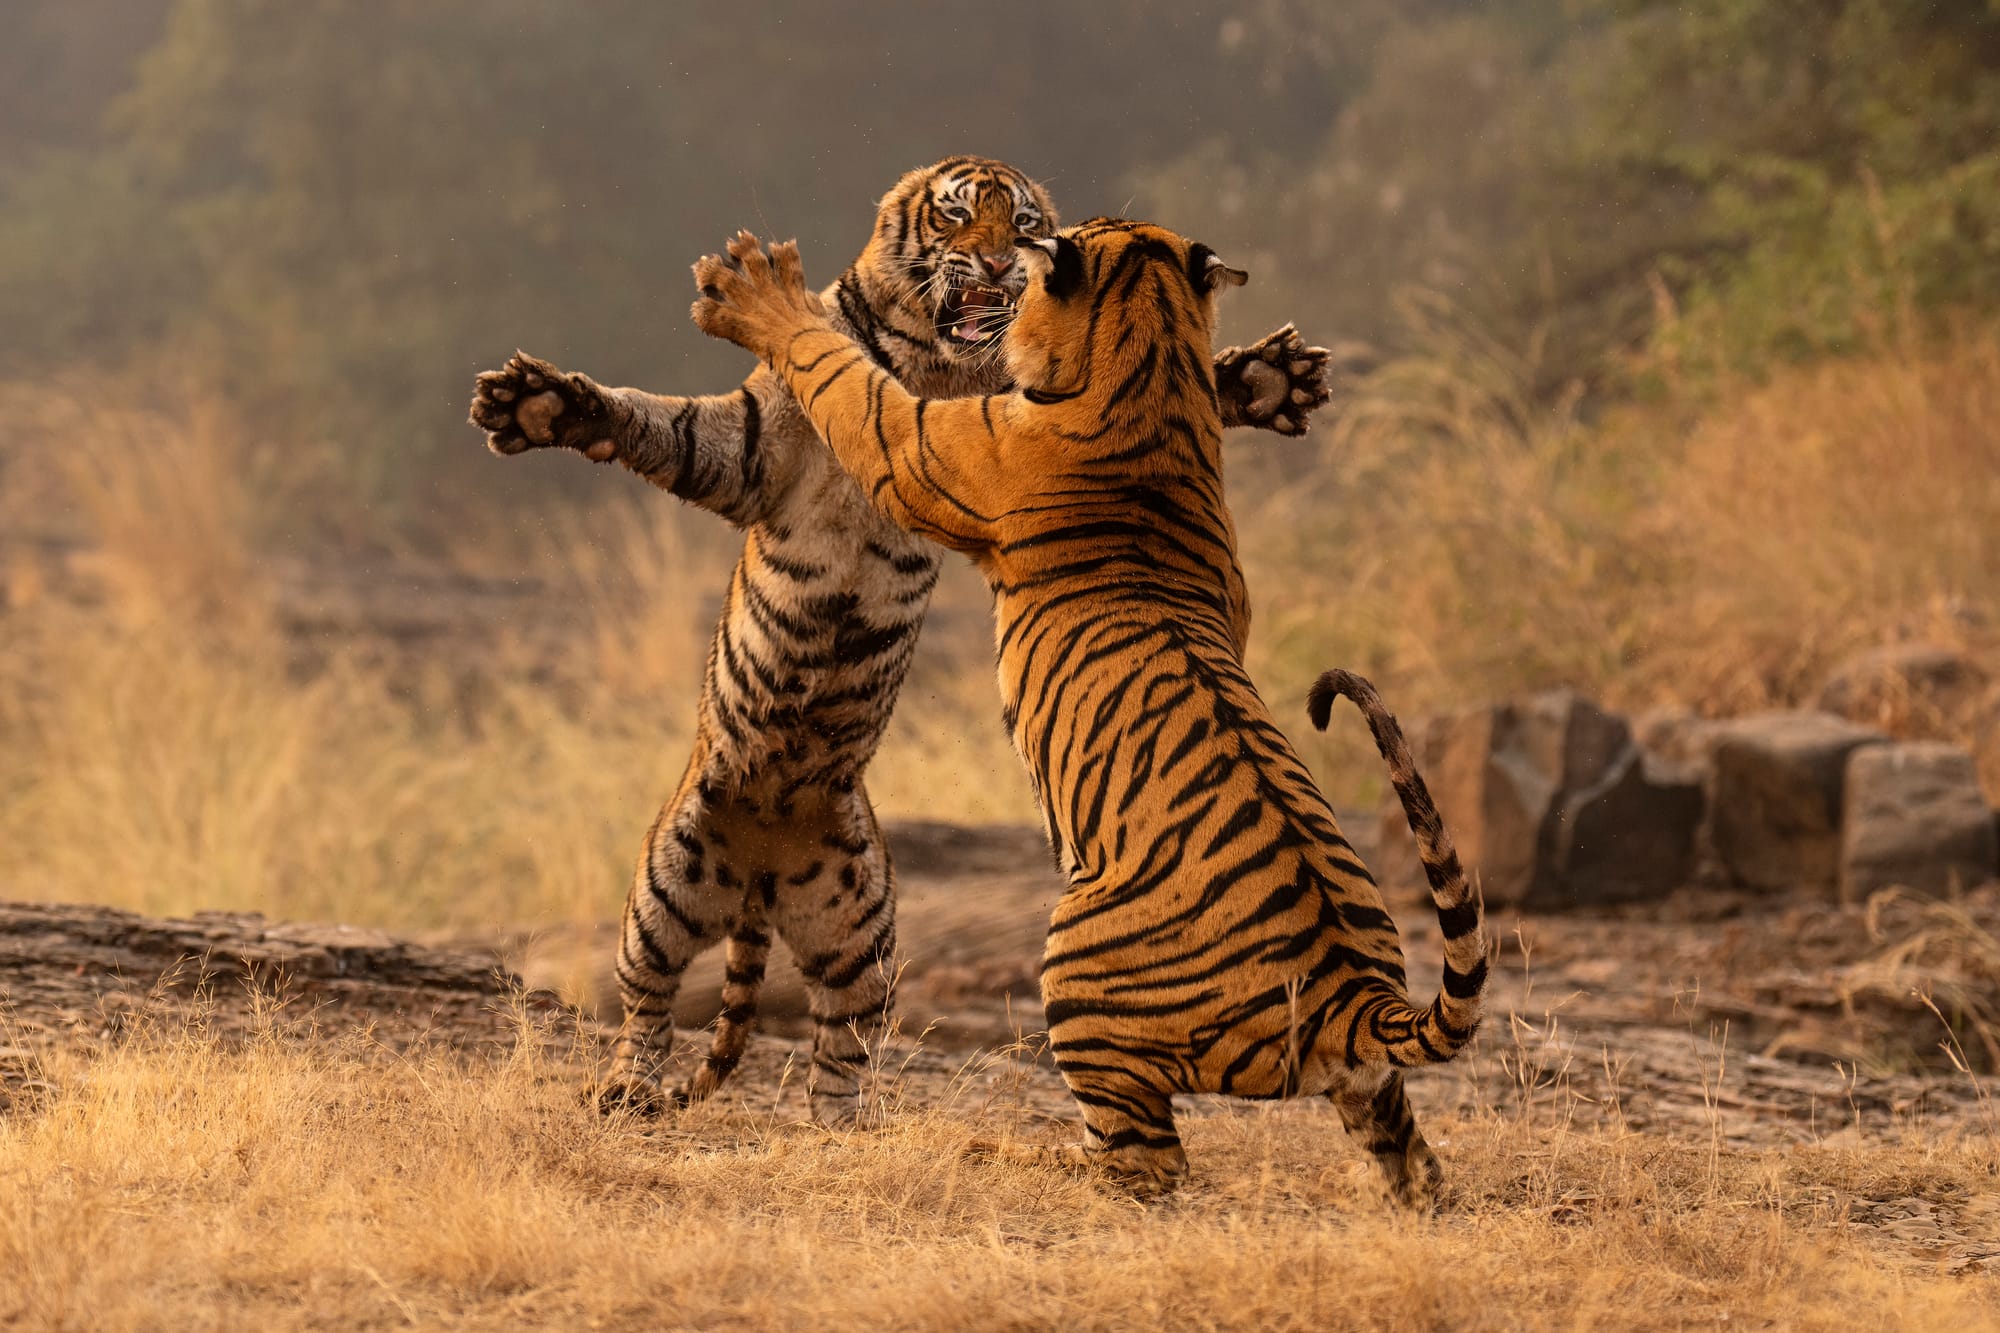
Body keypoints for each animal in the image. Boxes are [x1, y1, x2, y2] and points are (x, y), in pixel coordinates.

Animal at [468, 157, 1332, 1126]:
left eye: (1022, 221)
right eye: (956, 217)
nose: (998, 267)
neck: (931, 358)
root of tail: (761, 871)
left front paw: (1266, 378)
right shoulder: (750, 453)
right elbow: (666, 424)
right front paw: (538, 404)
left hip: (864, 920)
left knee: (841, 1038)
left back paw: (839, 1126)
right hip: (666, 881)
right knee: (646, 1002)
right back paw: (627, 1084)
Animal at [687, 221, 1487, 1205]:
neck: (1155, 363)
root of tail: (1356, 994)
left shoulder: (919, 450)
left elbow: (843, 375)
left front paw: (758, 293)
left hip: (1072, 964)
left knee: (1144, 1161)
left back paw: (1011, 1155)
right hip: (1368, 1084)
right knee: (1410, 1155)